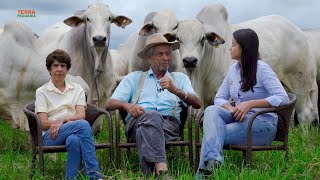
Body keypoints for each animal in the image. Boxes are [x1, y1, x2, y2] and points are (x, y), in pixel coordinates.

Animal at [170, 4, 318, 125]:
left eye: (202, 39)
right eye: (178, 39)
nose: (190, 60)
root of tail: (299, 31)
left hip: (301, 82)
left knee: (305, 113)